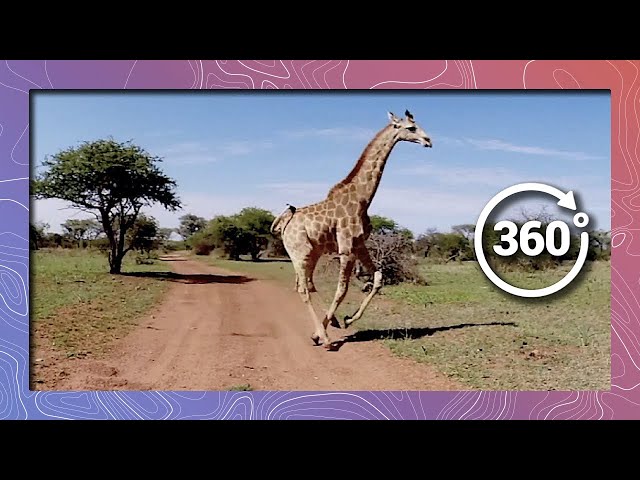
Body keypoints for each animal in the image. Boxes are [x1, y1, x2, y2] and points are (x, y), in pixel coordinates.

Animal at [270, 110, 433, 350]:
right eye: (411, 128)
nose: (428, 141)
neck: (363, 199)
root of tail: (284, 223)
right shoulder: (346, 248)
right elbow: (342, 290)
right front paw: (325, 333)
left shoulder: (359, 244)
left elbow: (377, 278)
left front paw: (346, 320)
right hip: (300, 253)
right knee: (303, 289)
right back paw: (326, 338)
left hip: (313, 252)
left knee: (308, 284)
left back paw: (329, 326)